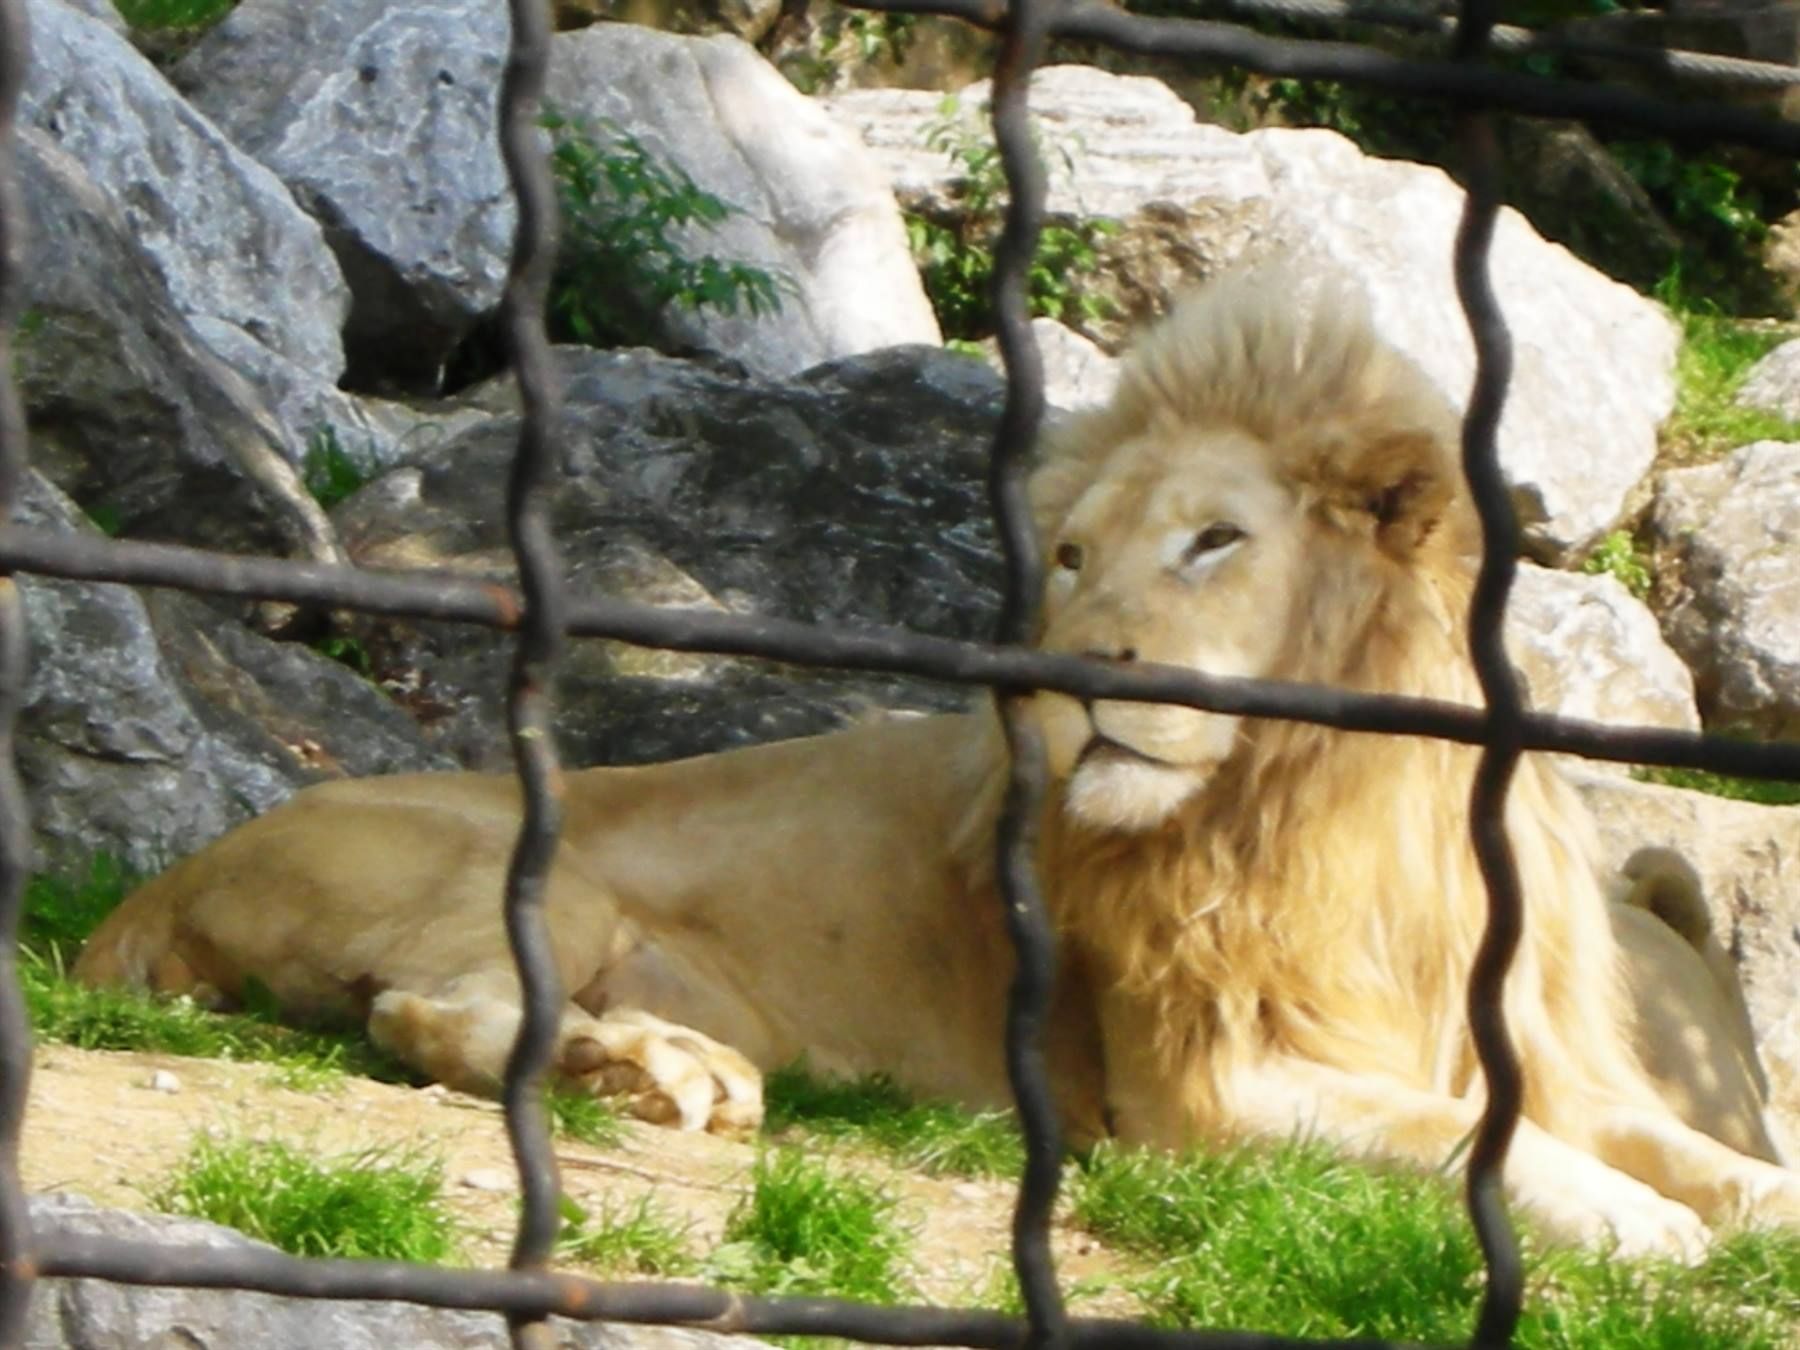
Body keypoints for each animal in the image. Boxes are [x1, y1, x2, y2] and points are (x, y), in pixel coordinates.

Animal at [73, 271, 1800, 1259]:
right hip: (524, 862)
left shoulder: (1541, 1052)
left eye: (1214, 541)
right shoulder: (1200, 1088)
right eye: (1074, 555)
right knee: (423, 1012)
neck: (1323, 801)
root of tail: (162, 881)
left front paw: (1744, 1204)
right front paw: (1643, 1225)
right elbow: (1459, 1140)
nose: (1073, 684)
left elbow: (1686, 1143)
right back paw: (656, 1072)